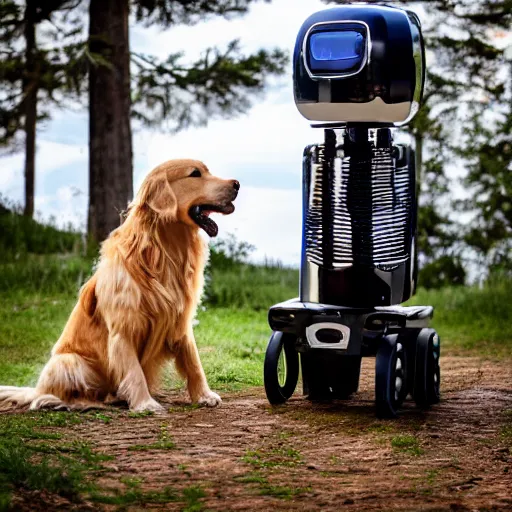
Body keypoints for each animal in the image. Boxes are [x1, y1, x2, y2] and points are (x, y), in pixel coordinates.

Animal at [0, 159, 240, 412]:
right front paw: (145, 404)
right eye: (195, 174)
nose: (237, 184)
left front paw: (204, 395)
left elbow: (193, 362)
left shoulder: (180, 322)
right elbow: (134, 371)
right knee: (50, 396)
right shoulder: (123, 329)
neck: (164, 254)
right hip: (68, 362)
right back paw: (70, 402)